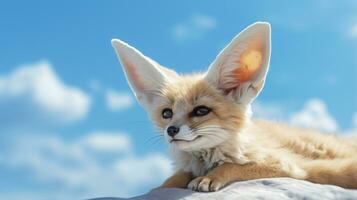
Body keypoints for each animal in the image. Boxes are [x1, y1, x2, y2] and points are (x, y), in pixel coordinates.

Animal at [111, 22, 356, 192]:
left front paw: (210, 177)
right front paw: (163, 186)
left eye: (201, 111)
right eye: (167, 113)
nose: (171, 130)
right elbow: (174, 178)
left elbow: (236, 166)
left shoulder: (287, 166)